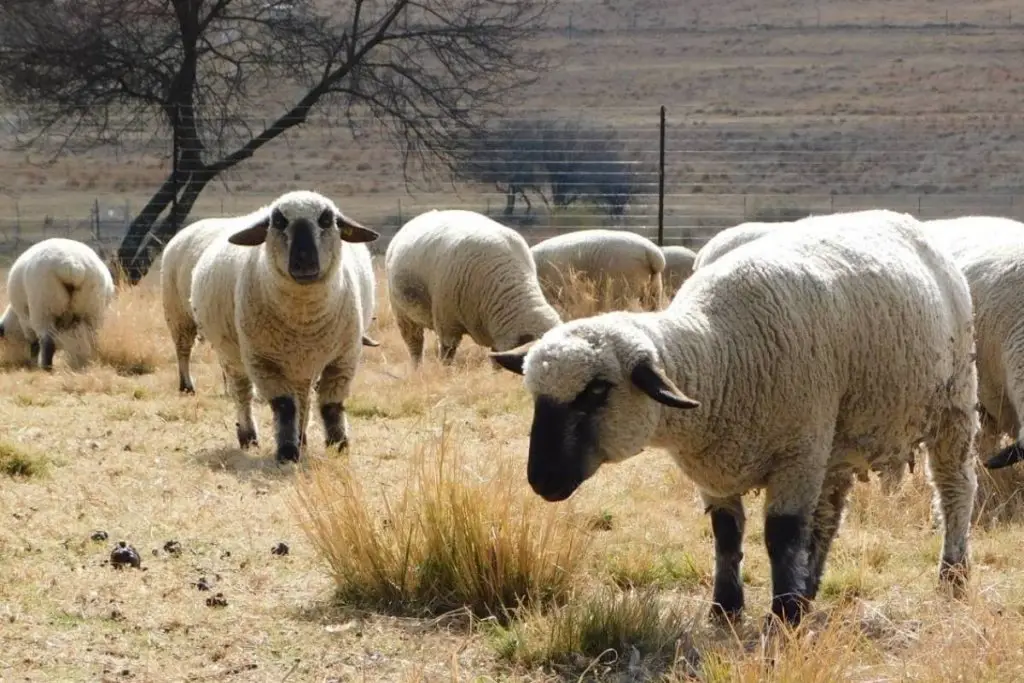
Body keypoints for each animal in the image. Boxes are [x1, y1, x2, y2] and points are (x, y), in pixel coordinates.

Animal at [0, 237, 116, 370]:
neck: (14, 317)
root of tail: (73, 266)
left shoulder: (25, 319)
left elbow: (33, 342)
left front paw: (33, 363)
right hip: (93, 308)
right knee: (94, 338)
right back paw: (92, 360)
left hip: (44, 306)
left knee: (47, 341)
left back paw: (46, 367)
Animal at [190, 189, 378, 462]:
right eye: (278, 222)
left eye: (326, 220)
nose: (304, 262)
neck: (304, 320)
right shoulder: (263, 362)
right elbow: (285, 406)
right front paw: (287, 453)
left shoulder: (344, 359)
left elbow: (331, 406)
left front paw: (339, 446)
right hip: (232, 355)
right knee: (243, 394)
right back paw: (249, 436)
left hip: (302, 366)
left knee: (304, 399)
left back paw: (303, 438)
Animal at [385, 209, 561, 366]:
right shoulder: (447, 325)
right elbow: (447, 356)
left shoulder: (495, 333)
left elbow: (496, 361)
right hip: (402, 313)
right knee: (414, 344)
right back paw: (417, 369)